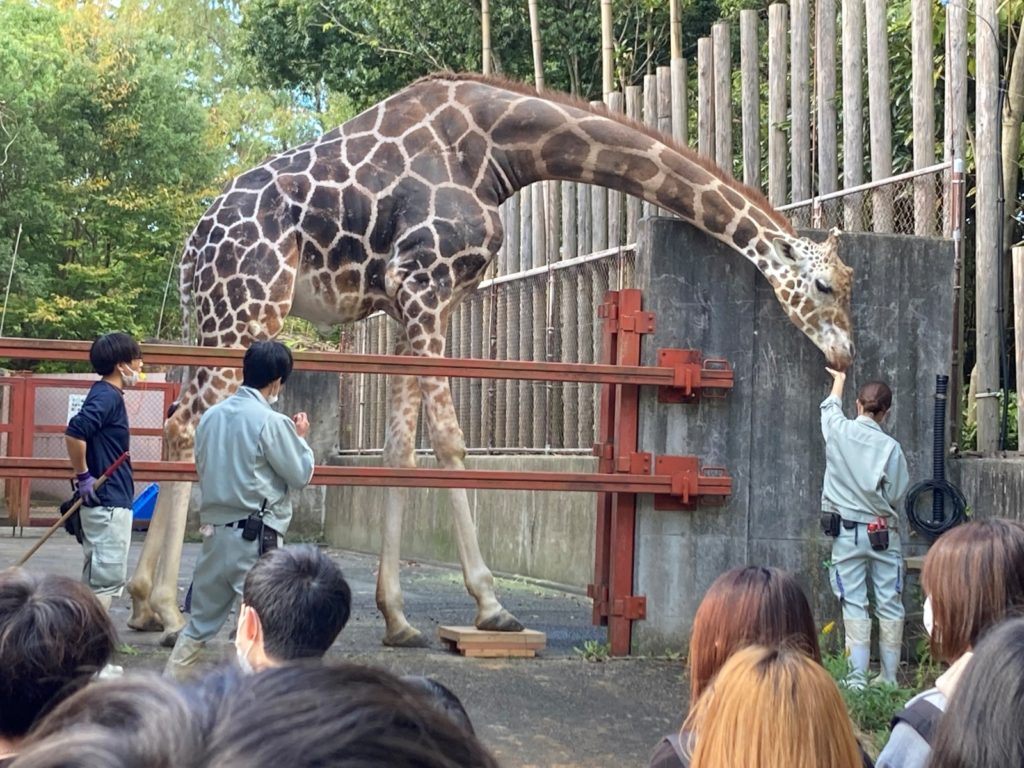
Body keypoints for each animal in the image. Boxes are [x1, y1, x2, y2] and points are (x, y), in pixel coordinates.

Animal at [123, 73, 851, 651]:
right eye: (826, 286)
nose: (845, 350)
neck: (500, 149)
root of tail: (189, 249)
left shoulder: (410, 303)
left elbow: (400, 451)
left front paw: (397, 618)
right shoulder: (425, 283)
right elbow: (450, 442)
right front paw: (491, 605)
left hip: (209, 320)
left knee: (181, 422)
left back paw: (142, 604)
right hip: (248, 311)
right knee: (187, 424)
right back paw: (166, 609)